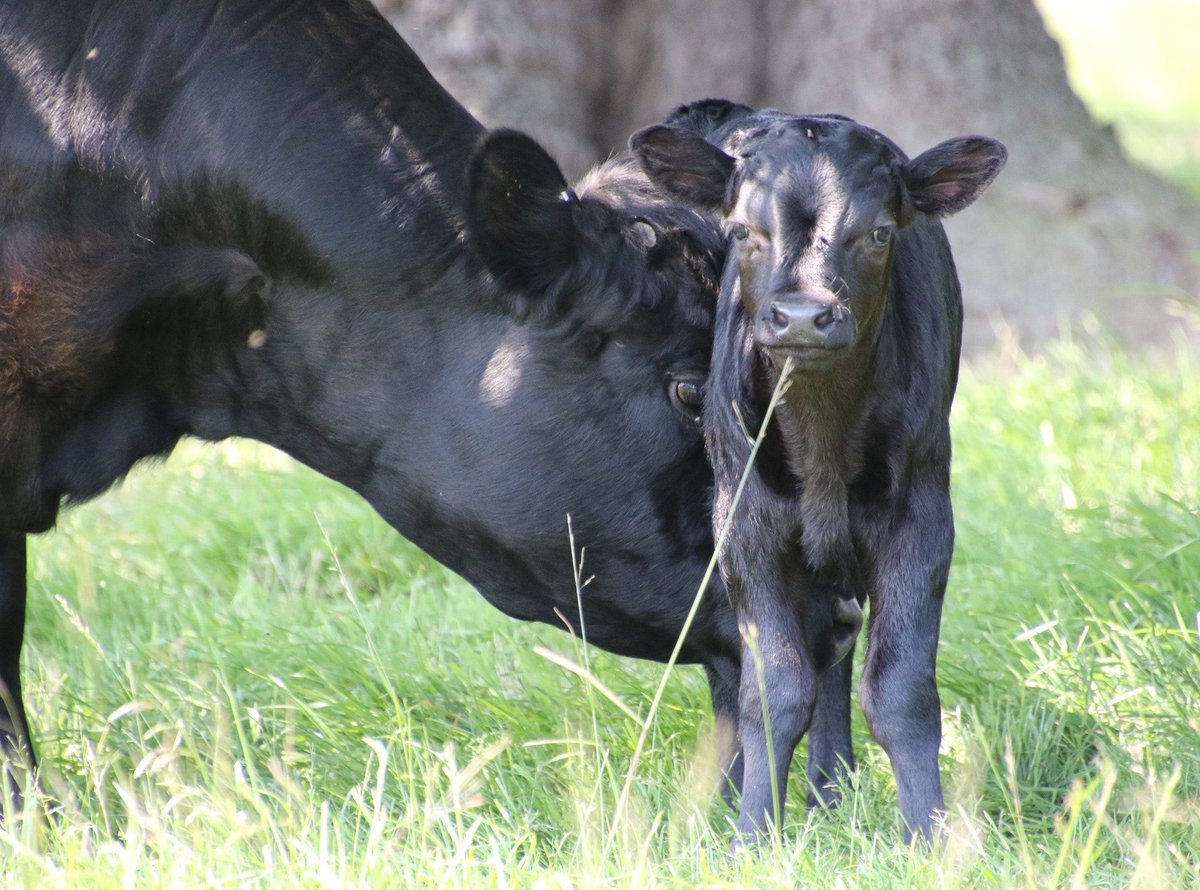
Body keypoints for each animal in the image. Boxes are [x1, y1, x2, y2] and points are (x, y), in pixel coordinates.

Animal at [632, 102, 1006, 842]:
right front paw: (751, 835)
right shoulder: (744, 526)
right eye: (743, 230)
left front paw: (928, 835)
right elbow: (774, 689)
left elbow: (901, 691)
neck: (822, 436)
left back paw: (833, 790)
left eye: (881, 232)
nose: (803, 317)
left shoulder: (922, 518)